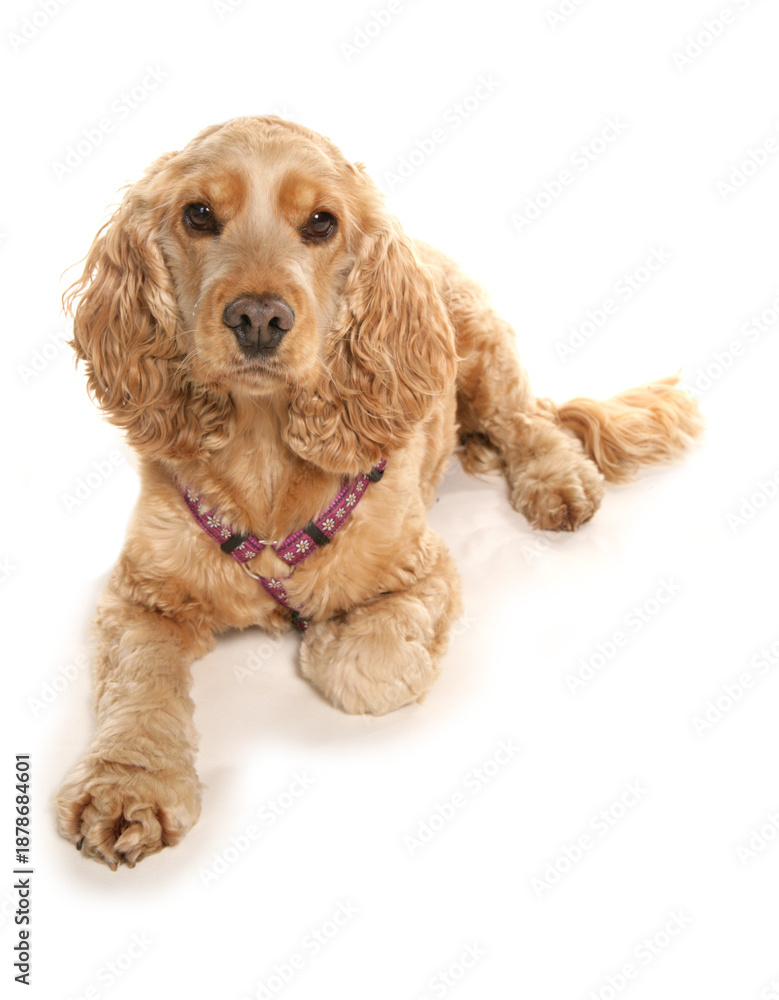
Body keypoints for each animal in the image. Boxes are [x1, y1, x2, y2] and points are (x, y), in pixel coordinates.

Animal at [56, 116, 702, 867]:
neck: (264, 456)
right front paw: (127, 787)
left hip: (483, 350)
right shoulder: (140, 595)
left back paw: (554, 480)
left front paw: (320, 639)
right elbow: (139, 682)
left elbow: (364, 665)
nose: (257, 319)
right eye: (198, 215)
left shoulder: (422, 572)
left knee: (529, 418)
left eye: (321, 222)